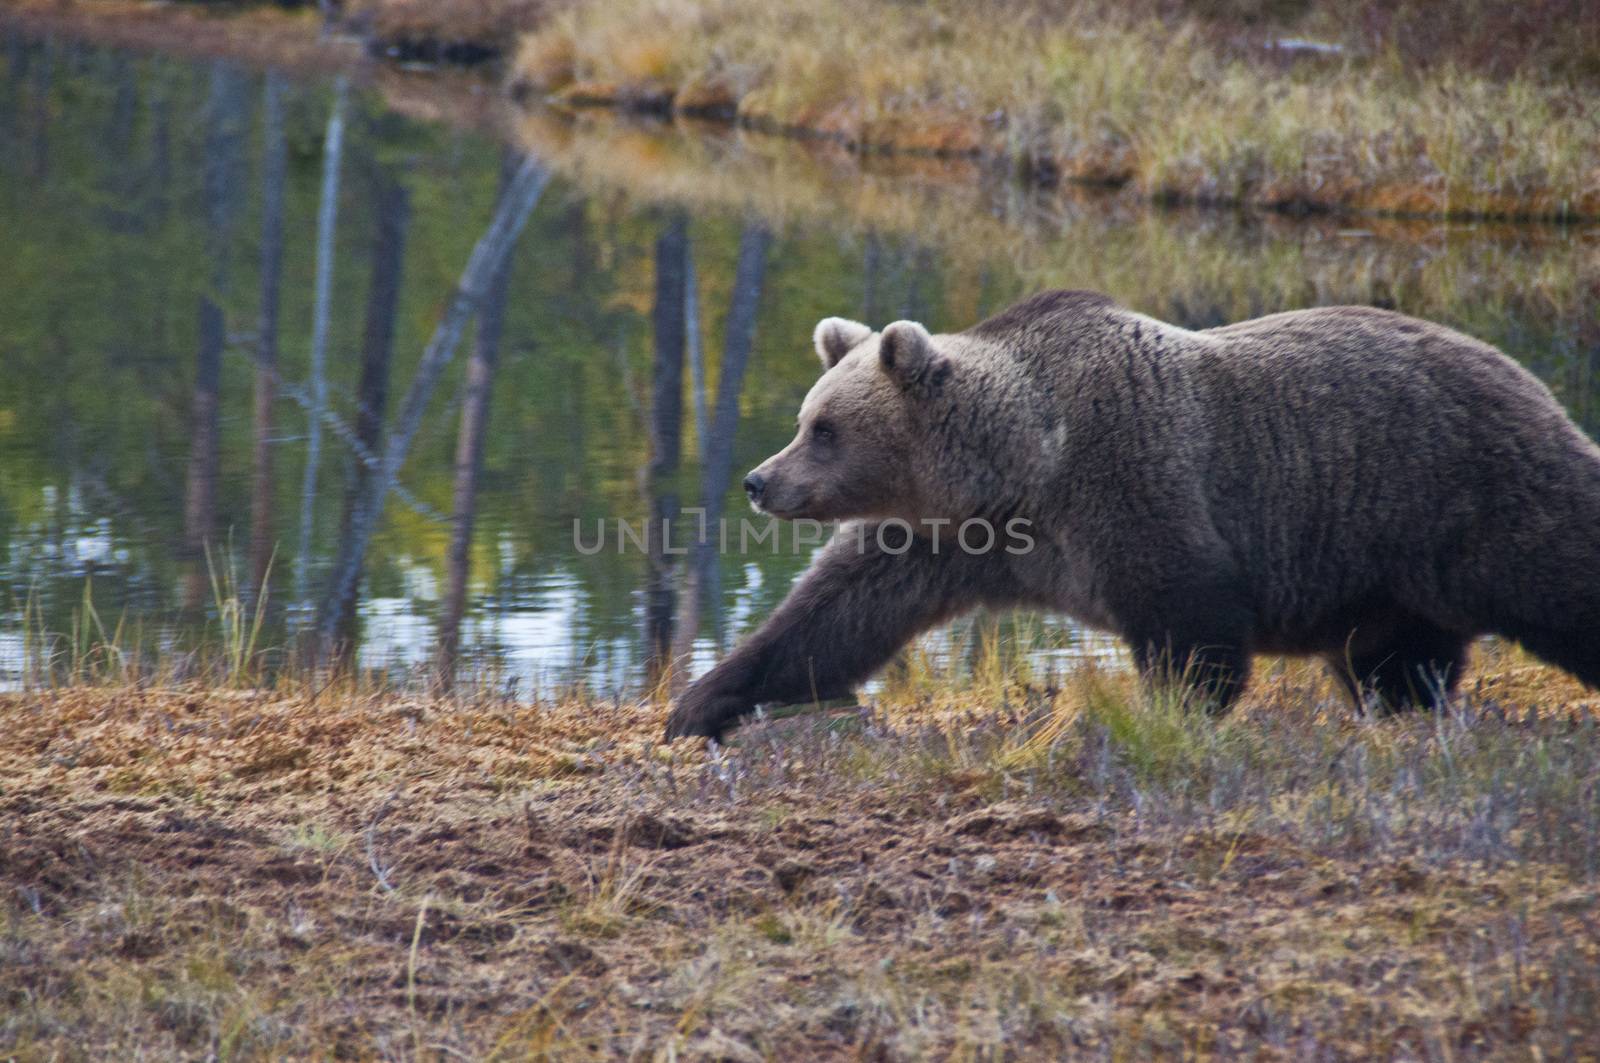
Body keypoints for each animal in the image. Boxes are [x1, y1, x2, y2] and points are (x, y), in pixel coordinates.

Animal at [659, 288, 1600, 739]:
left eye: (824, 427)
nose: (760, 479)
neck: (1019, 470)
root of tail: (1528, 374)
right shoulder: (941, 540)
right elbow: (834, 616)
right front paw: (702, 700)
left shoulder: (1134, 484)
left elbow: (1193, 626)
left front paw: (1164, 712)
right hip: (1389, 573)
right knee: (1396, 661)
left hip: (1462, 491)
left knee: (1561, 571)